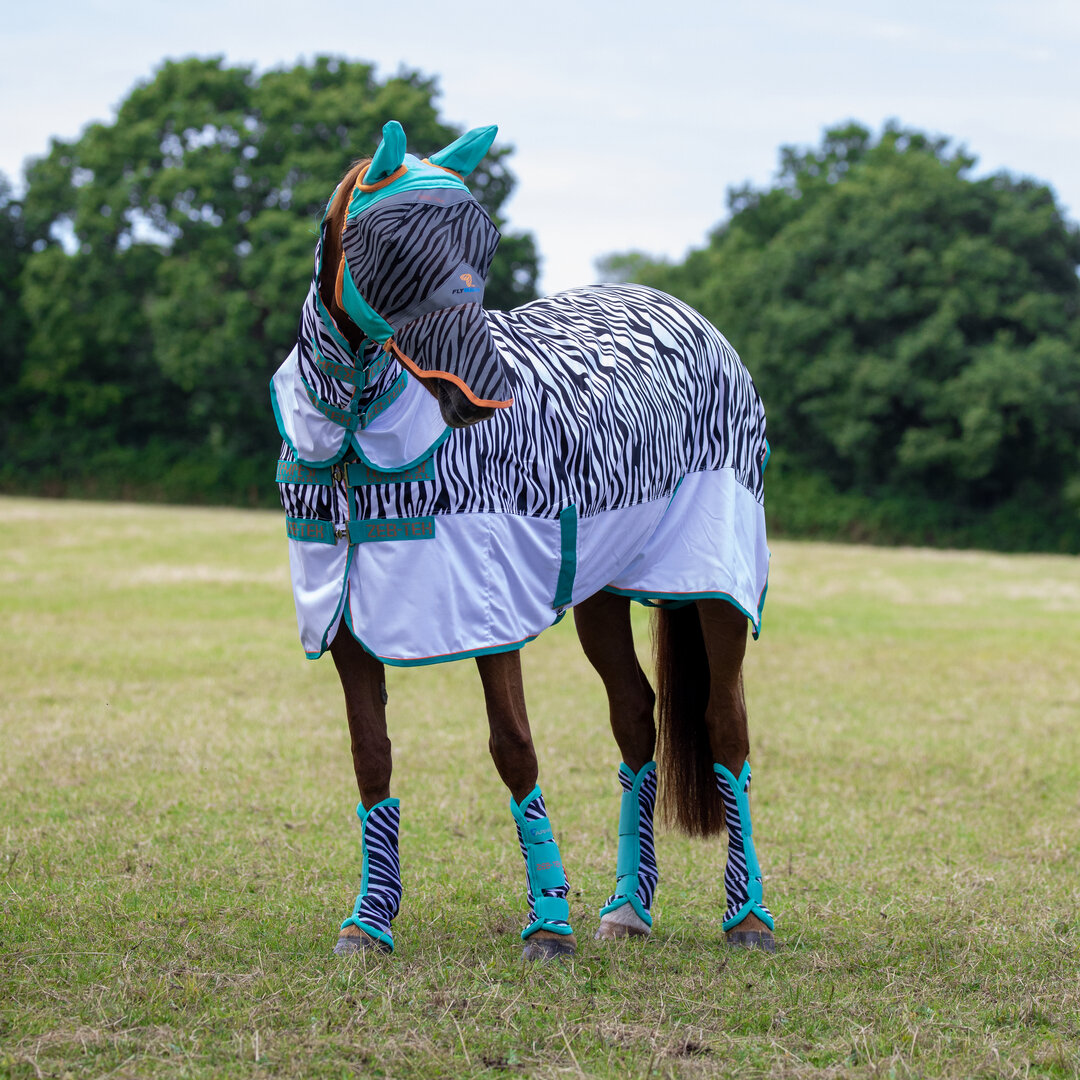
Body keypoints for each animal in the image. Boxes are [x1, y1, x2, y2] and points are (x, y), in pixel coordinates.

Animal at [270, 122, 777, 959]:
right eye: (389, 239)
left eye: (488, 238)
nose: (482, 395)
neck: (354, 439)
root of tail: (688, 315)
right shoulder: (344, 616)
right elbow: (371, 757)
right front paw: (370, 921)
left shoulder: (490, 609)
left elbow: (513, 747)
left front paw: (548, 925)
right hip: (602, 591)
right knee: (635, 718)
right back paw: (627, 908)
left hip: (715, 587)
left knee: (725, 728)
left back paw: (749, 920)